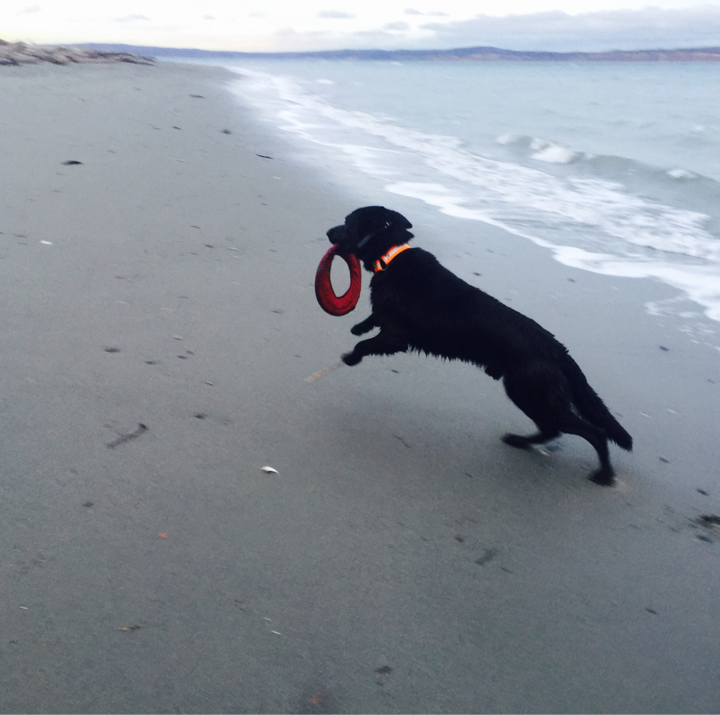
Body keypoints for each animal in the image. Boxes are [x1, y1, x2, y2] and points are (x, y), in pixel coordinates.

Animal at [326, 206, 632, 485]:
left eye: (347, 222)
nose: (328, 232)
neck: (391, 255)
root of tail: (558, 350)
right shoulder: (388, 320)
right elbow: (374, 316)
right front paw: (359, 326)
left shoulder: (397, 337)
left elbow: (366, 345)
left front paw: (351, 357)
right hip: (528, 393)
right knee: (552, 429)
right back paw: (519, 441)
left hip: (532, 391)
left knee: (592, 432)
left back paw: (603, 474)